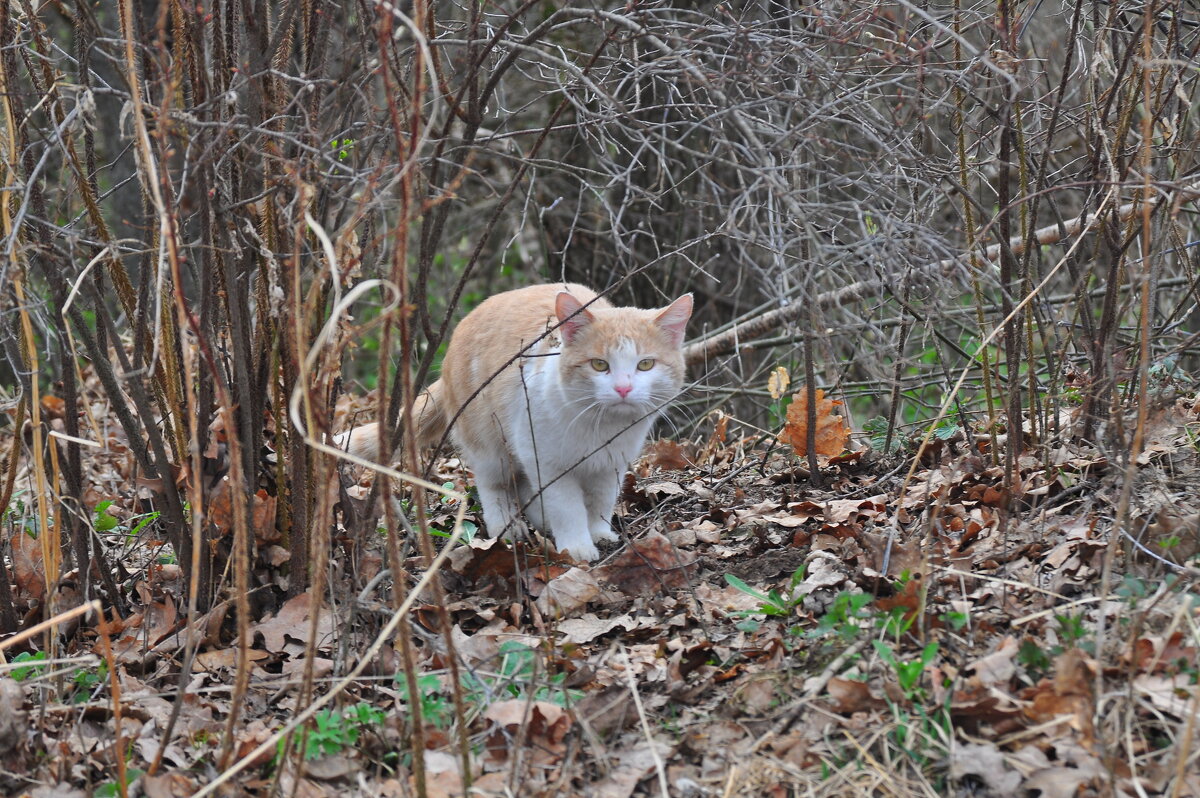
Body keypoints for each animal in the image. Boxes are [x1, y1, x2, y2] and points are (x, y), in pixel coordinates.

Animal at [343, 282, 691, 559]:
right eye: (599, 365)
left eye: (645, 364)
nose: (623, 388)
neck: (599, 427)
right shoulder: (547, 462)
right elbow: (567, 508)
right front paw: (578, 547)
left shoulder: (609, 465)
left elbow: (600, 502)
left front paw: (599, 533)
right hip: (490, 444)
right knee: (493, 485)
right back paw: (507, 528)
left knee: (523, 485)